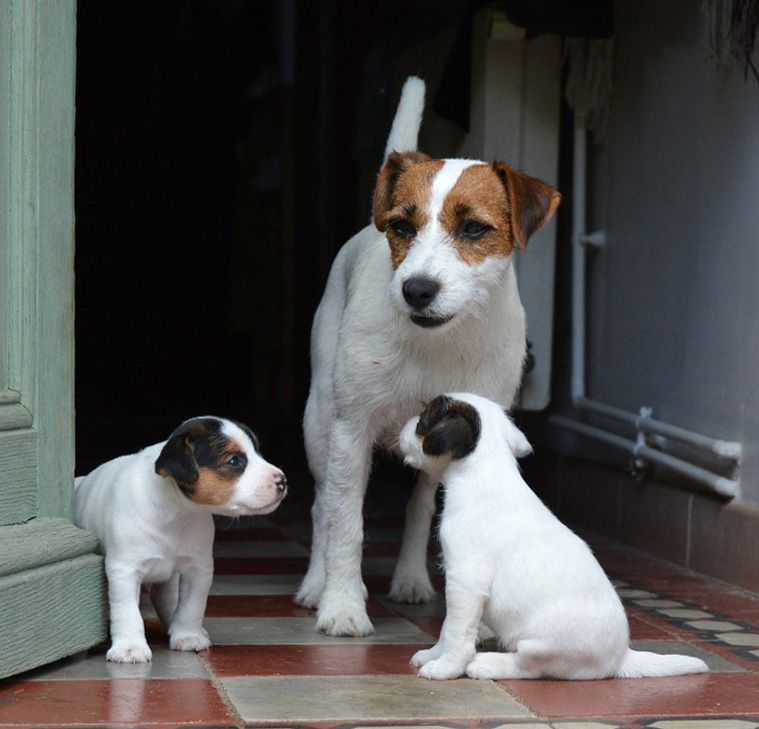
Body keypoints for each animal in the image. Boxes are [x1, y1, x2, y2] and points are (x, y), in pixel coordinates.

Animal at [75, 416, 287, 663]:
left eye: (258, 452)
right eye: (234, 461)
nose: (283, 480)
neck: (177, 513)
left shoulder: (199, 569)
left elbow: (191, 607)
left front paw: (188, 635)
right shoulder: (124, 570)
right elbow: (126, 611)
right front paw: (130, 647)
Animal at [294, 76, 561, 636]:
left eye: (475, 229)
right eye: (402, 226)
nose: (416, 289)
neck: (440, 343)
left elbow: (429, 516)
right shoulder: (352, 429)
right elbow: (345, 524)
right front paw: (342, 605)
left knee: (418, 508)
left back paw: (412, 579)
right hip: (320, 422)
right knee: (322, 505)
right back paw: (316, 584)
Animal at [400, 393, 709, 680]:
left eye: (423, 419)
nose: (403, 427)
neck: (484, 473)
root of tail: (620, 658)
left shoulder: (465, 581)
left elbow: (455, 630)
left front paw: (445, 667)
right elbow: (446, 628)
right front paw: (433, 654)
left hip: (539, 644)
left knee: (530, 667)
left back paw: (487, 664)